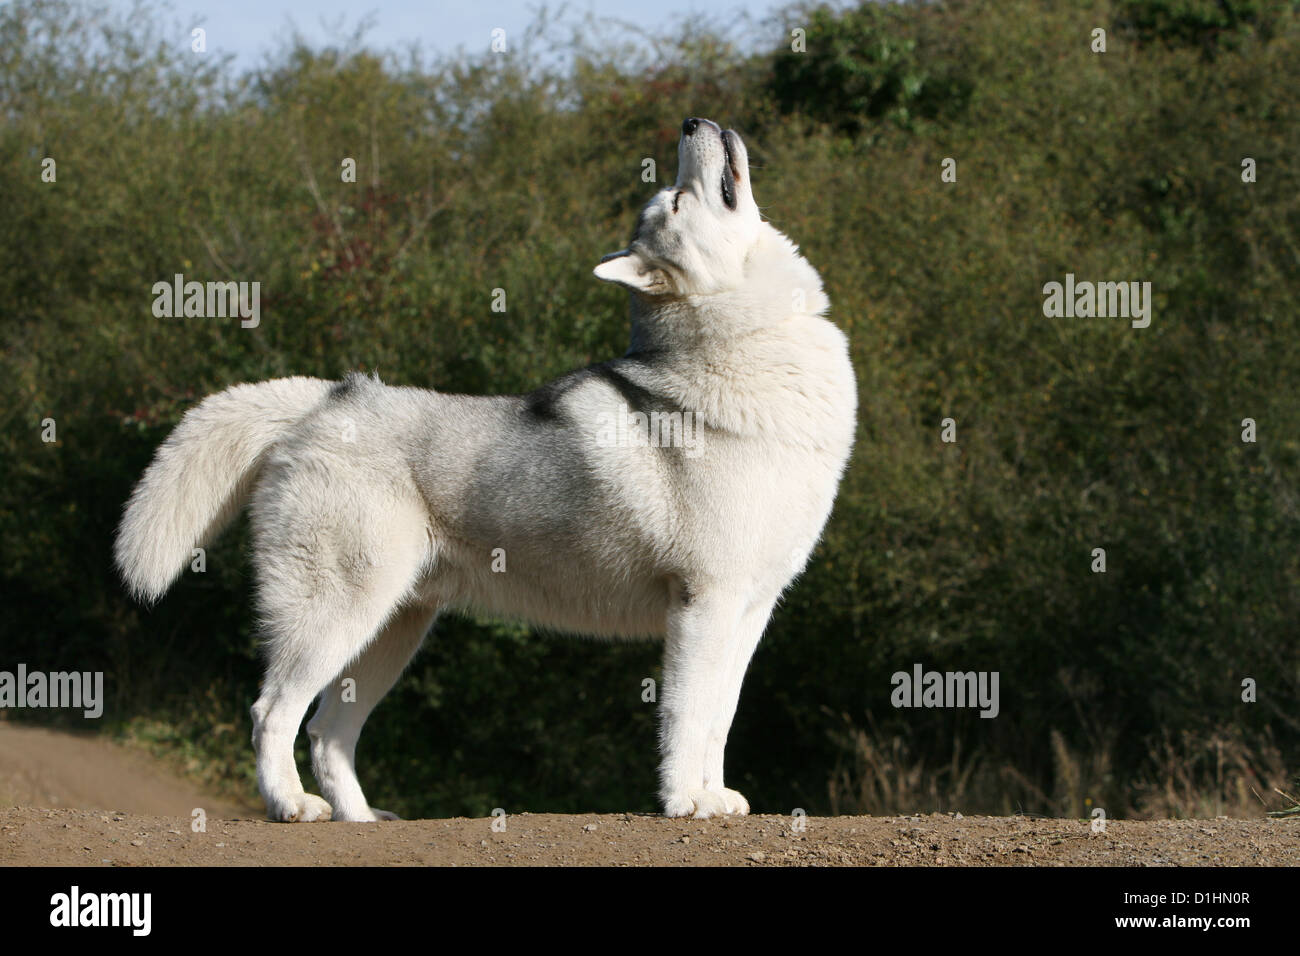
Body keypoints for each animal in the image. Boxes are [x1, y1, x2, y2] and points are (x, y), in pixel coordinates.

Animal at [116, 119, 857, 822]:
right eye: (676, 199)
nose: (692, 121)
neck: (747, 342)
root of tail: (327, 399)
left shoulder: (748, 609)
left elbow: (720, 719)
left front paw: (716, 796)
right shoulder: (704, 603)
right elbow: (687, 717)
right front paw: (684, 801)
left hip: (391, 631)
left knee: (328, 734)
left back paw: (357, 819)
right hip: (334, 617)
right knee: (273, 713)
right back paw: (291, 805)